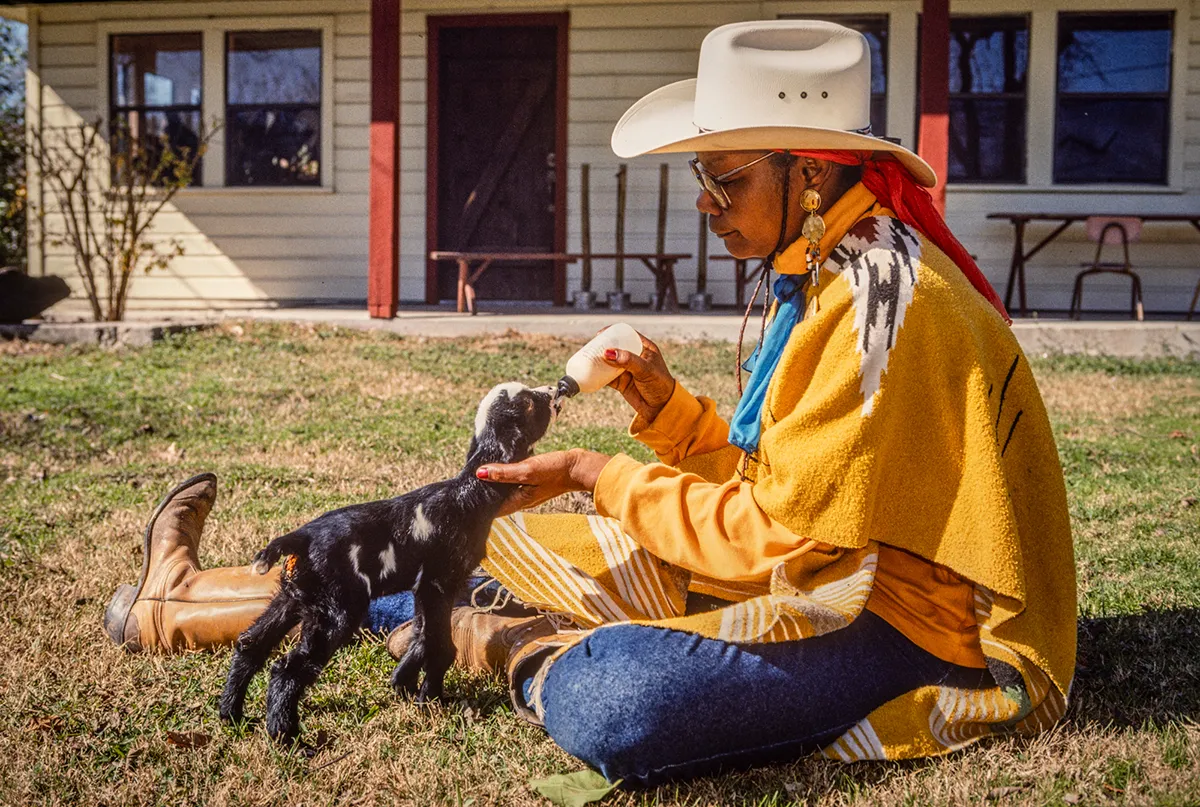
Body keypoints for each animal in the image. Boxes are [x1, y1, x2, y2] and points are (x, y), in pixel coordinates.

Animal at [219, 381, 556, 744]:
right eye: (530, 401)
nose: (557, 388)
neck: (467, 493)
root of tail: (300, 538)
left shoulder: (427, 589)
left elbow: (422, 635)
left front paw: (405, 685)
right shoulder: (439, 582)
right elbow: (439, 644)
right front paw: (430, 698)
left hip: (293, 598)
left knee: (250, 644)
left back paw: (232, 714)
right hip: (337, 612)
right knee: (288, 668)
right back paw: (288, 737)